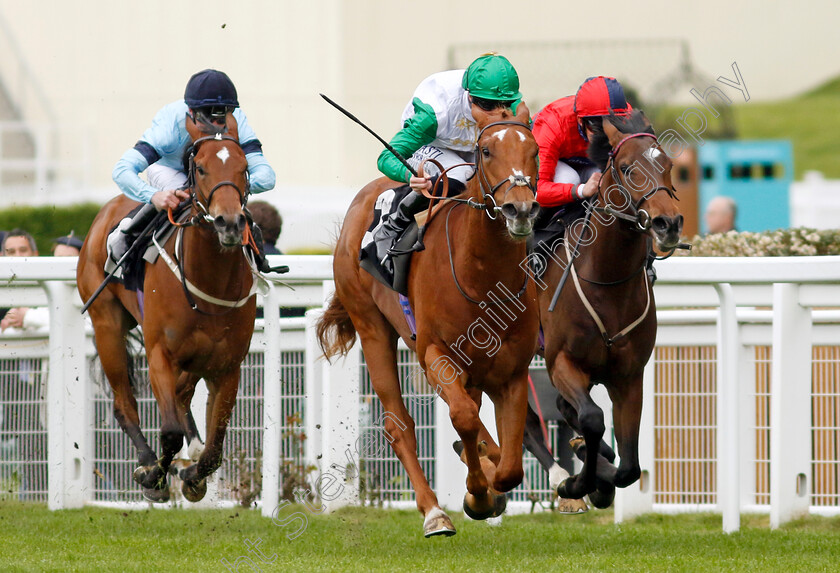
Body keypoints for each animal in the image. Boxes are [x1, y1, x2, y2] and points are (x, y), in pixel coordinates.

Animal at [78, 115, 256, 500]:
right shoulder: (161, 353)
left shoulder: (227, 366)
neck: (209, 283)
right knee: (125, 404)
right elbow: (171, 432)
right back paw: (148, 462)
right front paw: (154, 476)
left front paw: (192, 476)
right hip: (107, 326)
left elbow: (215, 447)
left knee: (183, 396)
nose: (230, 223)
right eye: (200, 168)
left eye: (245, 168)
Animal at [316, 106, 540, 536]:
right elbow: (464, 418)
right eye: (486, 150)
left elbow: (511, 467)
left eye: (534, 150)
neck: (483, 277)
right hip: (373, 328)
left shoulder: (512, 371)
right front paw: (477, 495)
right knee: (401, 424)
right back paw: (434, 511)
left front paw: (488, 480)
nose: (519, 210)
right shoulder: (435, 354)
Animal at [536, 111, 684, 504]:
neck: (607, 281)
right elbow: (592, 418)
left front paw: (599, 478)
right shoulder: (561, 361)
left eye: (669, 165)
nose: (668, 224)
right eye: (626, 167)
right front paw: (578, 483)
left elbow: (629, 468)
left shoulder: (629, 376)